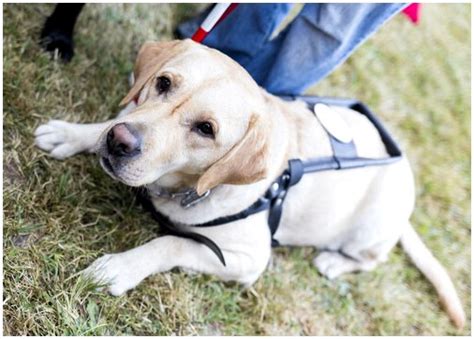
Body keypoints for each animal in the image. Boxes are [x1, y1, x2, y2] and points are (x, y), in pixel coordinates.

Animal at [35, 39, 464, 330]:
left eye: (206, 129)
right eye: (163, 82)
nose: (120, 142)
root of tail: (405, 171)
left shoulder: (246, 259)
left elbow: (169, 242)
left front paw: (120, 268)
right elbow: (112, 118)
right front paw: (74, 134)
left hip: (369, 232)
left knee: (371, 259)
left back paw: (334, 261)